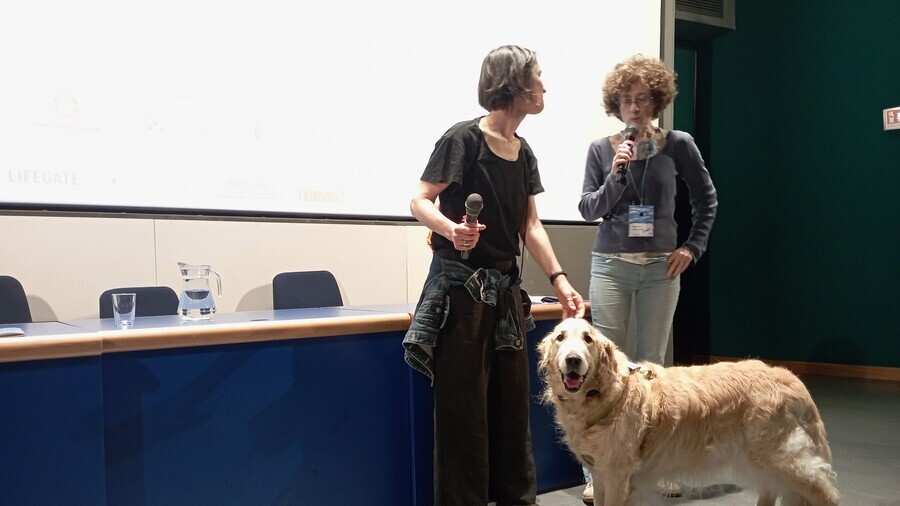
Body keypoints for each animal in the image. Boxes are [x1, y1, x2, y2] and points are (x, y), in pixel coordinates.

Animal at [536, 318, 840, 504]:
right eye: (560, 337)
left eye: (588, 339)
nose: (573, 360)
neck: (605, 394)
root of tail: (789, 377)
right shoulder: (600, 473)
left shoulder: (615, 475)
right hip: (759, 457)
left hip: (780, 455)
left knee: (826, 492)